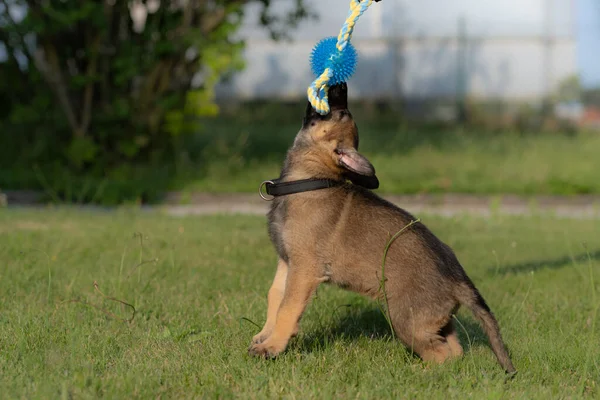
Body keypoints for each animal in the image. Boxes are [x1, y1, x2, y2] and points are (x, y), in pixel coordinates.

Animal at [250, 83, 516, 374]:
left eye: (340, 113)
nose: (341, 85)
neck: (309, 179)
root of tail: (458, 280)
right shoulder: (288, 261)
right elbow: (275, 295)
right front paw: (266, 334)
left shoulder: (305, 268)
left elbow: (288, 306)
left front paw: (272, 346)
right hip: (436, 321)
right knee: (454, 351)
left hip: (405, 319)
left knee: (441, 355)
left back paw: (417, 372)